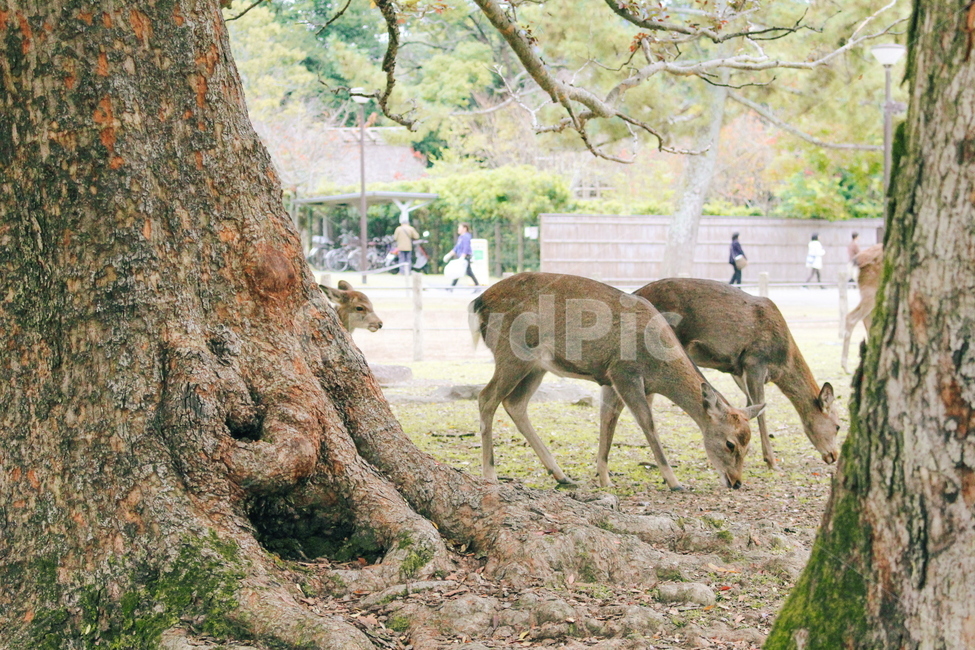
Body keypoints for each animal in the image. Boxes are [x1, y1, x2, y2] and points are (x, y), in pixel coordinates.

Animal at [469, 272, 764, 491]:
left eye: (748, 444)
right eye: (730, 443)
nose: (736, 482)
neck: (658, 366)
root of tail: (478, 303)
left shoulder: (609, 379)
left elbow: (607, 421)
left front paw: (604, 479)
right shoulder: (625, 371)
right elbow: (647, 422)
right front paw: (675, 482)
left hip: (536, 367)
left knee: (514, 403)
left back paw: (562, 476)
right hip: (512, 354)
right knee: (486, 397)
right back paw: (490, 474)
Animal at [632, 278, 840, 471]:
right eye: (838, 426)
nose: (833, 456)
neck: (782, 361)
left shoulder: (738, 371)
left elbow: (747, 407)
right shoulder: (755, 361)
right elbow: (761, 408)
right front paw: (771, 461)